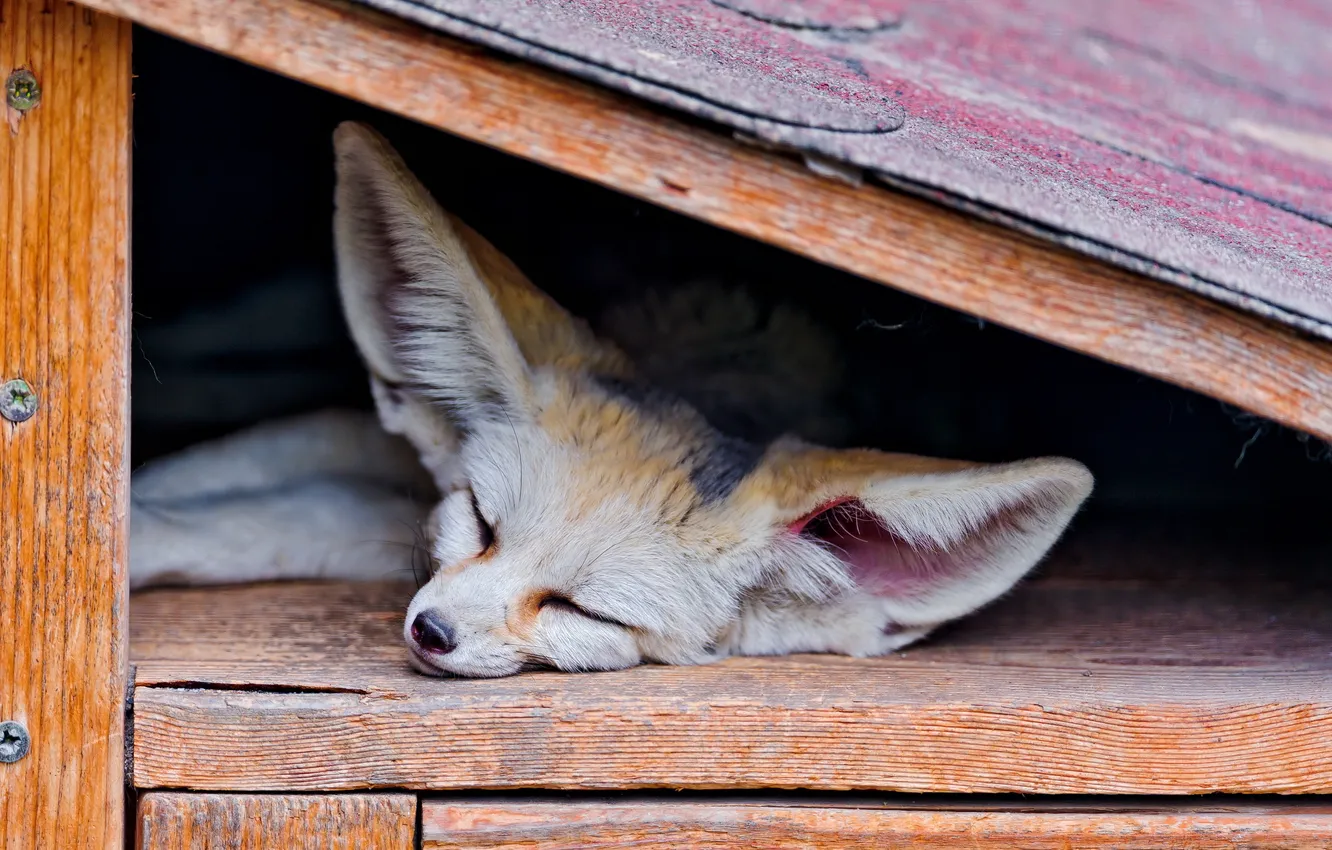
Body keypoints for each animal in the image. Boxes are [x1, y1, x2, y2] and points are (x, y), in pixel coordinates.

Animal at [129, 122, 1094, 678]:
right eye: (482, 523)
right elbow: (232, 490)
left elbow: (277, 517)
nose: (432, 631)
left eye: (584, 612)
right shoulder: (390, 454)